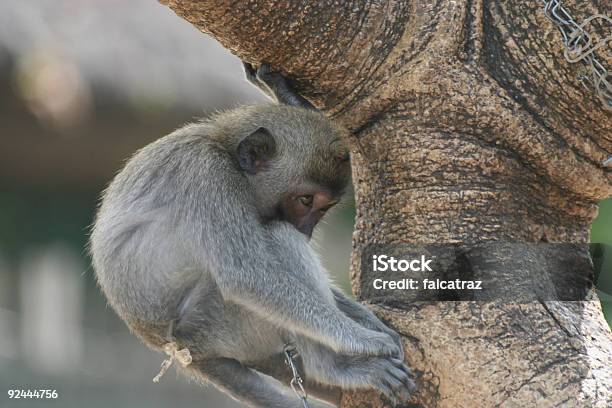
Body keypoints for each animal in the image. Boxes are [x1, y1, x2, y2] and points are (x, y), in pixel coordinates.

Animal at [89, 62, 416, 406]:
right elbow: (247, 278)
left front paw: (369, 321)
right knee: (278, 239)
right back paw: (332, 366)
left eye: (324, 208)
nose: (306, 230)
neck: (224, 148)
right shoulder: (211, 179)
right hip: (219, 325)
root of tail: (181, 352)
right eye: (306, 200)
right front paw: (364, 338)